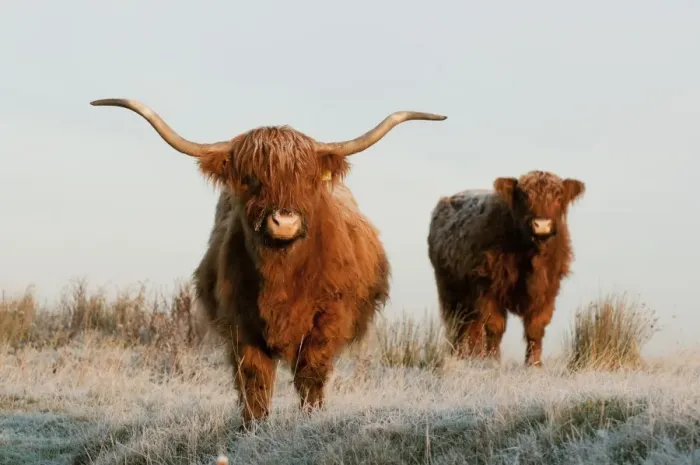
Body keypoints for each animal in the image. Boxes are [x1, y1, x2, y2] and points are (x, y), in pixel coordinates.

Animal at [90, 98, 446, 427]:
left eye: (307, 179)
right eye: (251, 178)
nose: (284, 222)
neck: (282, 274)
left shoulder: (330, 314)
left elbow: (310, 370)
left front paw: (310, 419)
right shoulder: (239, 320)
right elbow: (254, 375)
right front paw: (255, 424)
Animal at [427, 170, 585, 367]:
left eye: (559, 196)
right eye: (524, 196)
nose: (541, 225)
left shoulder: (548, 290)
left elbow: (536, 328)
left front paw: (534, 364)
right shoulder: (487, 289)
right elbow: (495, 326)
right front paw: (493, 360)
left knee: (471, 327)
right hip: (449, 291)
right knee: (458, 326)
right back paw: (461, 356)